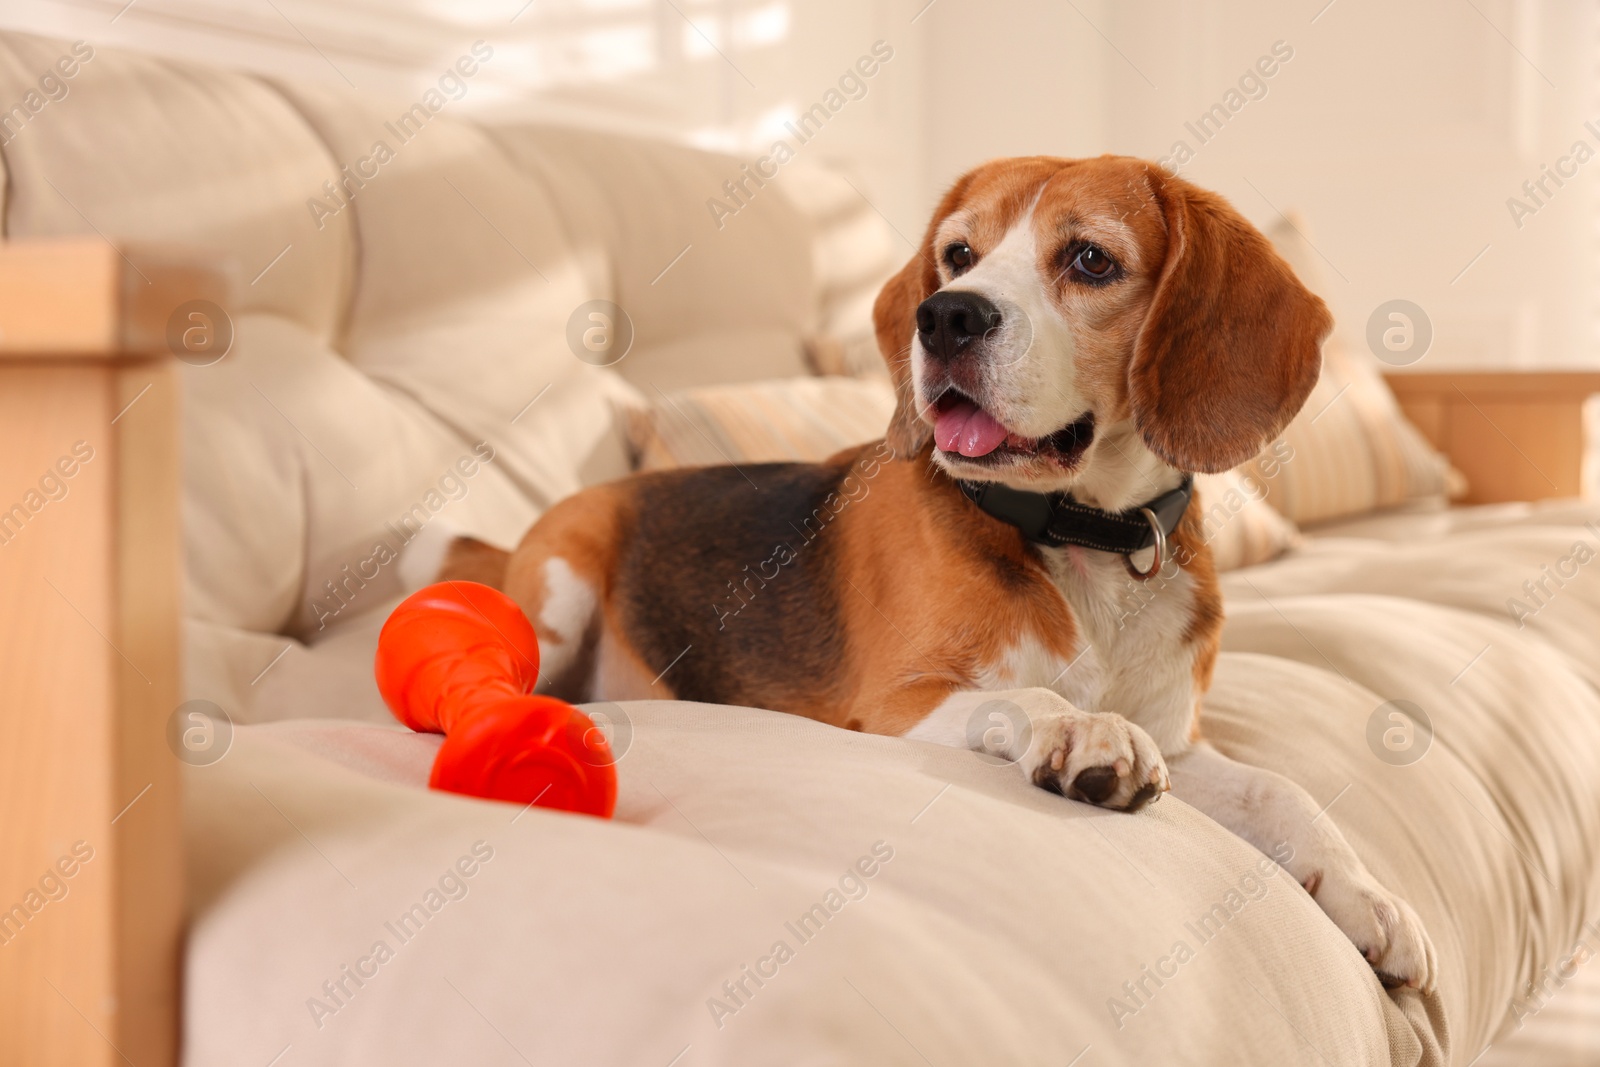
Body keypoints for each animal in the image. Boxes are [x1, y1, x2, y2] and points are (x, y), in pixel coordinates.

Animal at [435, 154, 1440, 991]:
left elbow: (1282, 788)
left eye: (1091, 260)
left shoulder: (1183, 742)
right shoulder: (896, 704)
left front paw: (1369, 896)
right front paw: (1085, 733)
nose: (947, 313)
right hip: (560, 588)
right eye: (958, 254)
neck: (1084, 538)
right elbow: (1032, 697)